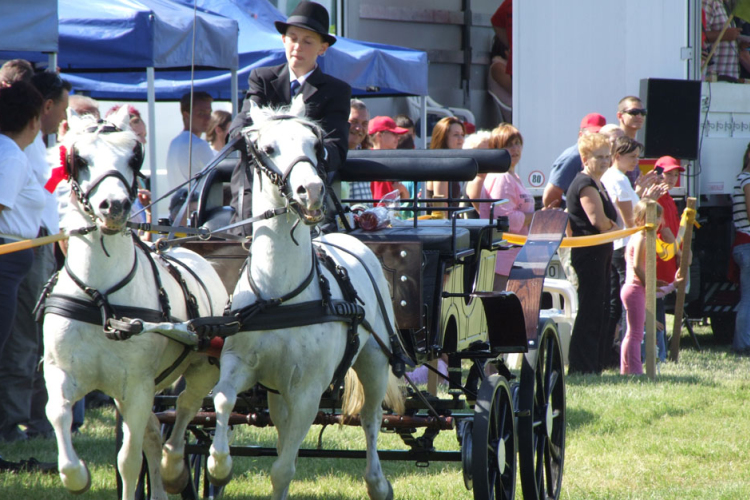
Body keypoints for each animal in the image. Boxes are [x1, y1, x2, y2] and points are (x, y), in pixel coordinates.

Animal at [41, 110, 228, 500]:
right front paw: (77, 475)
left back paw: (176, 468)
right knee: (155, 434)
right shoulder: (61, 371)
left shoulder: (137, 386)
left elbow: (128, 460)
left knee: (187, 410)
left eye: (134, 157)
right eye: (79, 159)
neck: (101, 297)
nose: (114, 206)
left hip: (203, 368)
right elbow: (59, 415)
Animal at [206, 99, 406, 498]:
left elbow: (283, 469)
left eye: (316, 146)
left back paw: (377, 482)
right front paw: (218, 467)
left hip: (375, 360)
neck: (280, 297)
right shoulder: (240, 363)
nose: (310, 190)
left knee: (372, 418)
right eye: (268, 148)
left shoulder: (307, 393)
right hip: (277, 390)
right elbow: (223, 398)